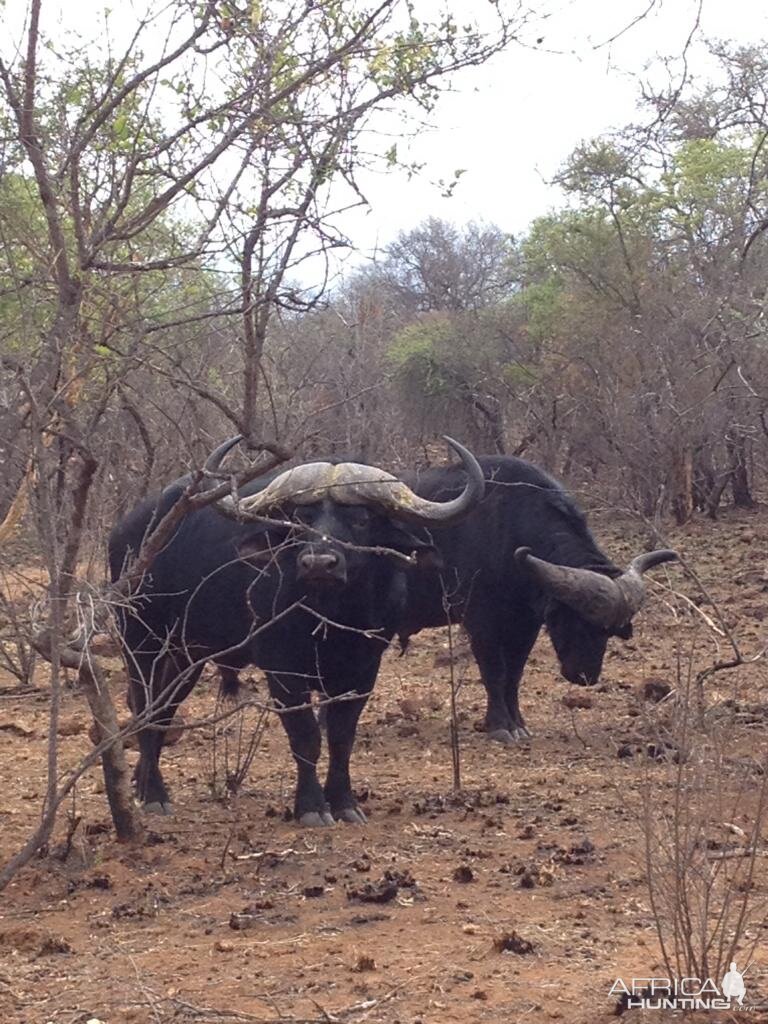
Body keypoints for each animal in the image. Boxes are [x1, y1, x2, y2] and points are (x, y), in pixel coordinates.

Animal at [108, 438, 483, 823]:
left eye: (361, 519)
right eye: (301, 518)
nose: (319, 563)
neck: (331, 619)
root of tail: (127, 530)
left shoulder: (364, 670)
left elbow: (341, 737)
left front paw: (344, 803)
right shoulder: (283, 670)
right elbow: (305, 736)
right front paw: (312, 807)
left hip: (185, 658)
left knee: (163, 712)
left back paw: (141, 784)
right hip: (140, 643)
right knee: (144, 708)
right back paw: (154, 794)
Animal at [399, 458, 675, 745]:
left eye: (607, 632)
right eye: (578, 624)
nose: (585, 676)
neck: (507, 527)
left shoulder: (526, 624)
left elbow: (514, 674)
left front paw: (518, 723)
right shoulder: (480, 622)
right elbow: (494, 672)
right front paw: (501, 725)